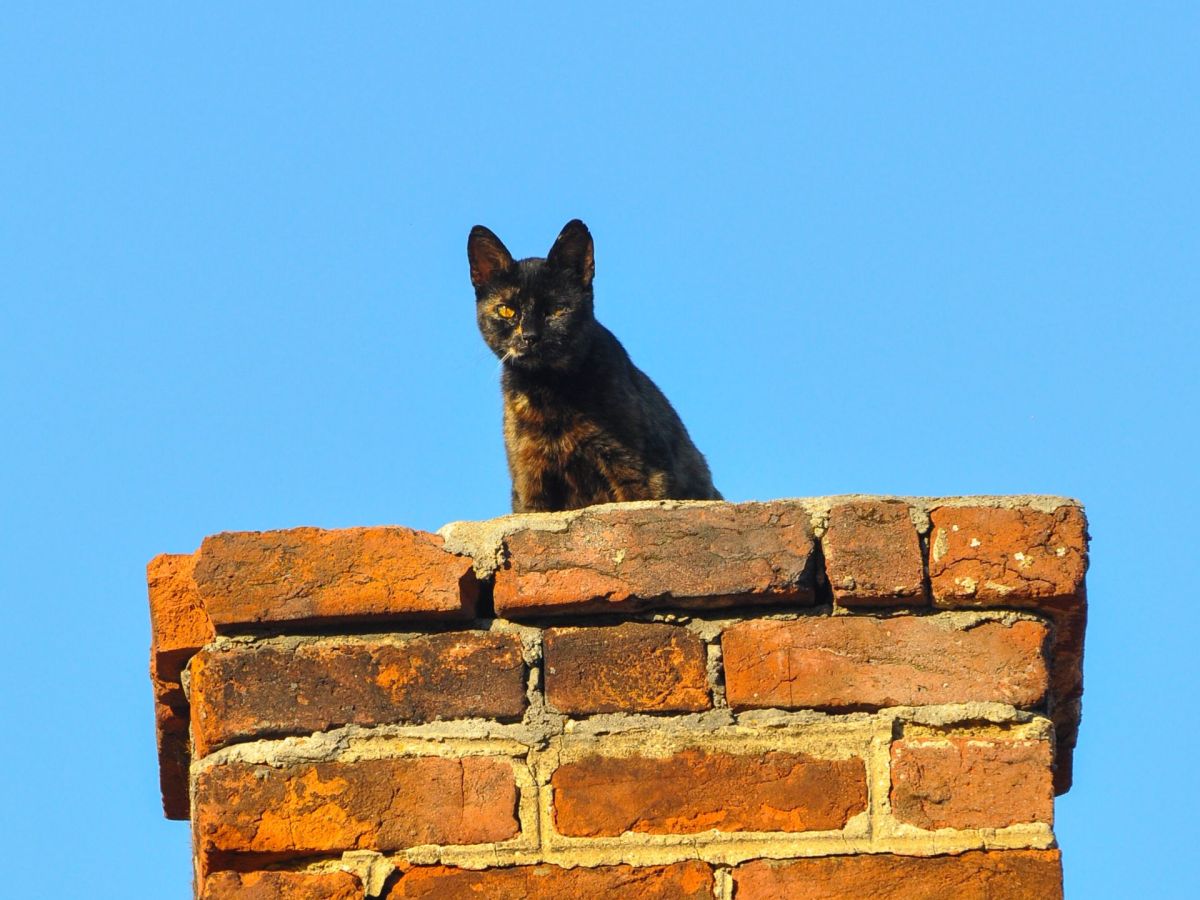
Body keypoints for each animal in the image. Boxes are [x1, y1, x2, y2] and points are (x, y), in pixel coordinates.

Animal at [463, 219, 715, 513]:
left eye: (557, 309)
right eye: (506, 310)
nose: (530, 337)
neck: (549, 394)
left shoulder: (639, 471)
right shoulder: (529, 480)